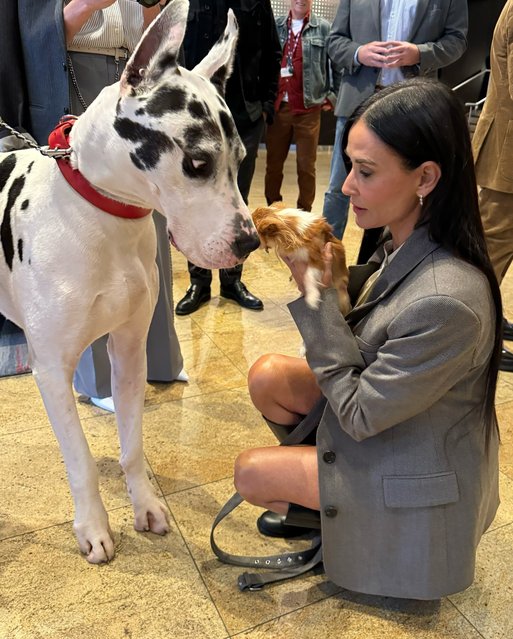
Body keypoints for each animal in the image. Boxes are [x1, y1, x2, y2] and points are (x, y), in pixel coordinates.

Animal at [0, 0, 258, 564]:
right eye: (197, 162)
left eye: (241, 162)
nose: (249, 243)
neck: (102, 210)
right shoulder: (52, 370)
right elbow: (79, 460)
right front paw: (94, 526)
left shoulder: (130, 349)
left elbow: (133, 445)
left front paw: (144, 505)